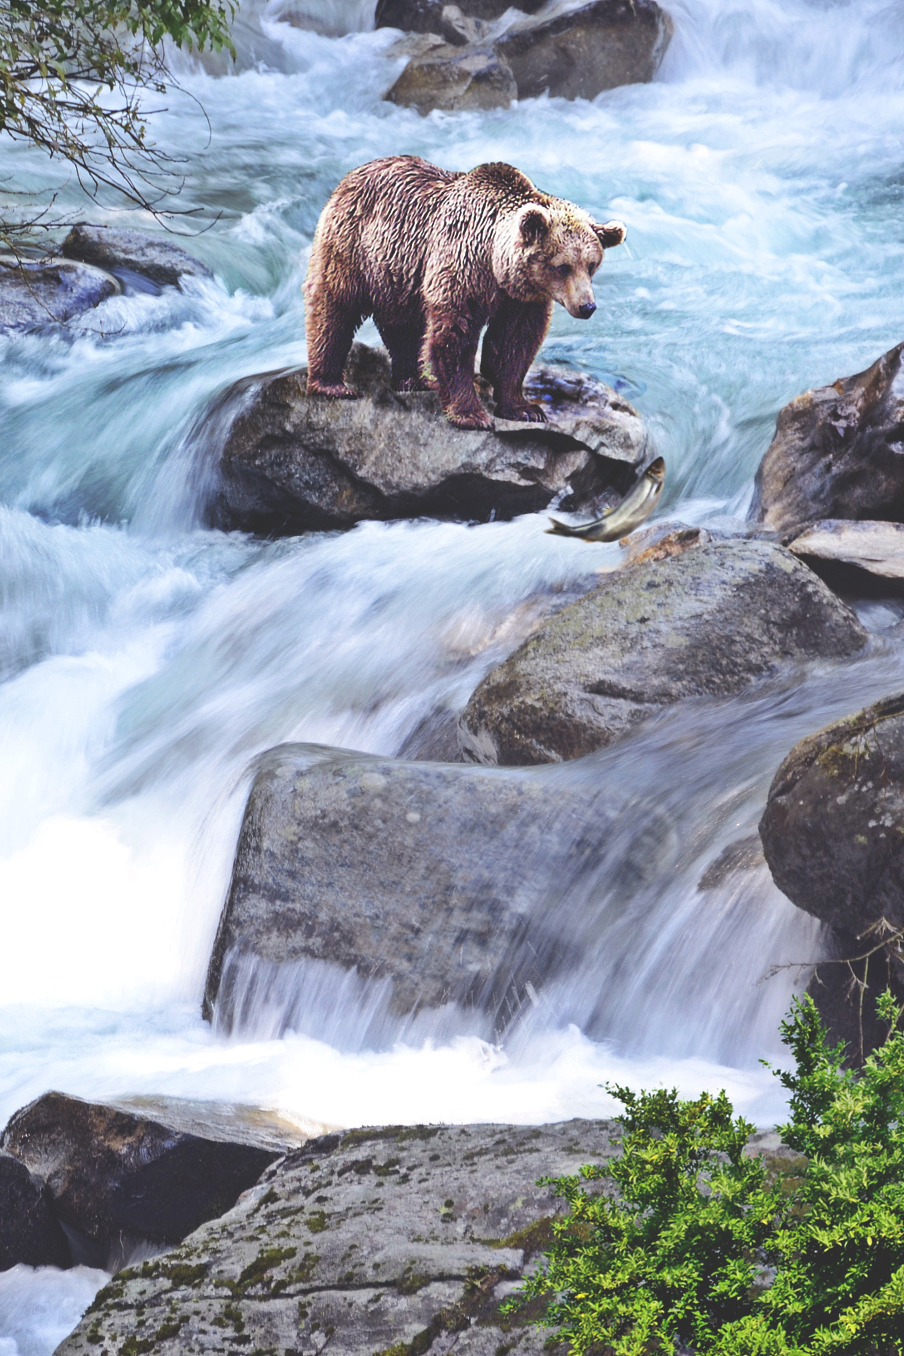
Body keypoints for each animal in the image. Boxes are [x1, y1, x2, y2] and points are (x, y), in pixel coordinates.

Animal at [307, 154, 626, 431]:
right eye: (563, 266)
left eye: (591, 264)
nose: (587, 306)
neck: (495, 264)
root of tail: (351, 175)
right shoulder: (462, 266)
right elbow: (455, 337)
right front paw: (471, 414)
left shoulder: (521, 298)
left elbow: (516, 342)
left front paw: (524, 408)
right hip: (354, 245)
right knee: (333, 308)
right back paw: (330, 383)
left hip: (399, 271)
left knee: (403, 326)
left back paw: (412, 379)